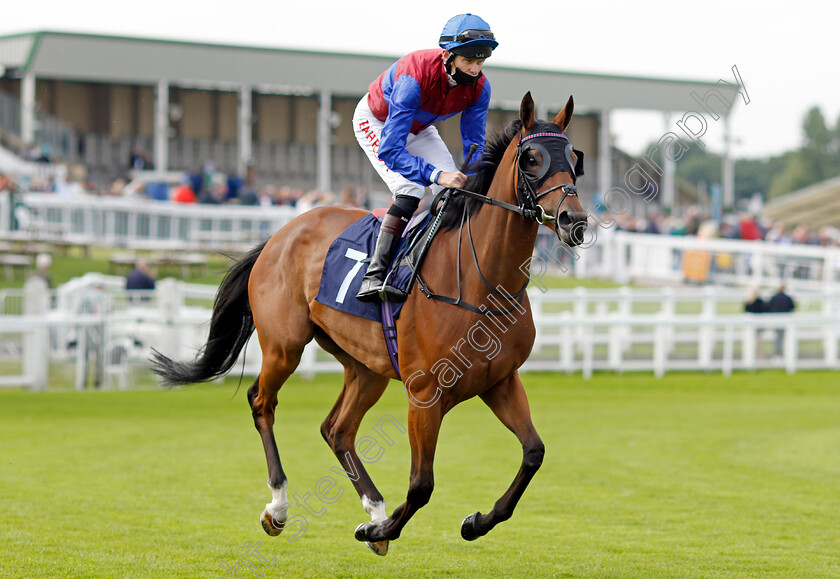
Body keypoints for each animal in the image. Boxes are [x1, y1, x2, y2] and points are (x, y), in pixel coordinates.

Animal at [151, 93, 588, 556]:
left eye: (574, 159)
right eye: (532, 158)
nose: (574, 221)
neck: (479, 281)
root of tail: (279, 235)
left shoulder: (500, 382)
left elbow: (533, 453)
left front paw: (474, 522)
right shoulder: (425, 395)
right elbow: (421, 485)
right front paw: (381, 531)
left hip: (365, 366)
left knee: (336, 429)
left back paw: (375, 508)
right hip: (285, 345)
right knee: (261, 402)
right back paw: (280, 506)